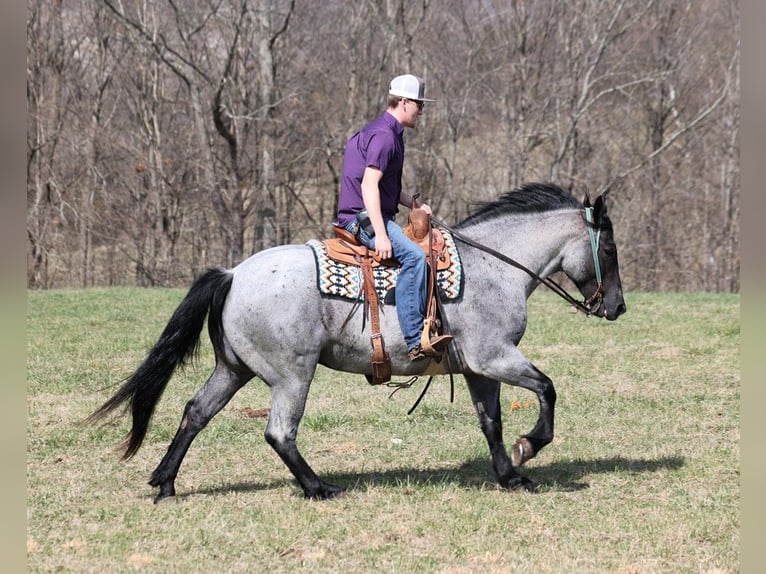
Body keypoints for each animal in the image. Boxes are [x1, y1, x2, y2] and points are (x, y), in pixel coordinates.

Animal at [91, 183, 632, 504]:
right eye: (608, 248)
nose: (618, 307)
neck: (494, 268)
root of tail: (232, 273)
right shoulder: (495, 356)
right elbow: (547, 388)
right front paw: (530, 446)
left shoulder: (479, 368)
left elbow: (491, 423)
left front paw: (510, 474)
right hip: (292, 374)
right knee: (279, 432)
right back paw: (319, 487)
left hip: (234, 369)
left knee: (196, 412)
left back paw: (165, 482)